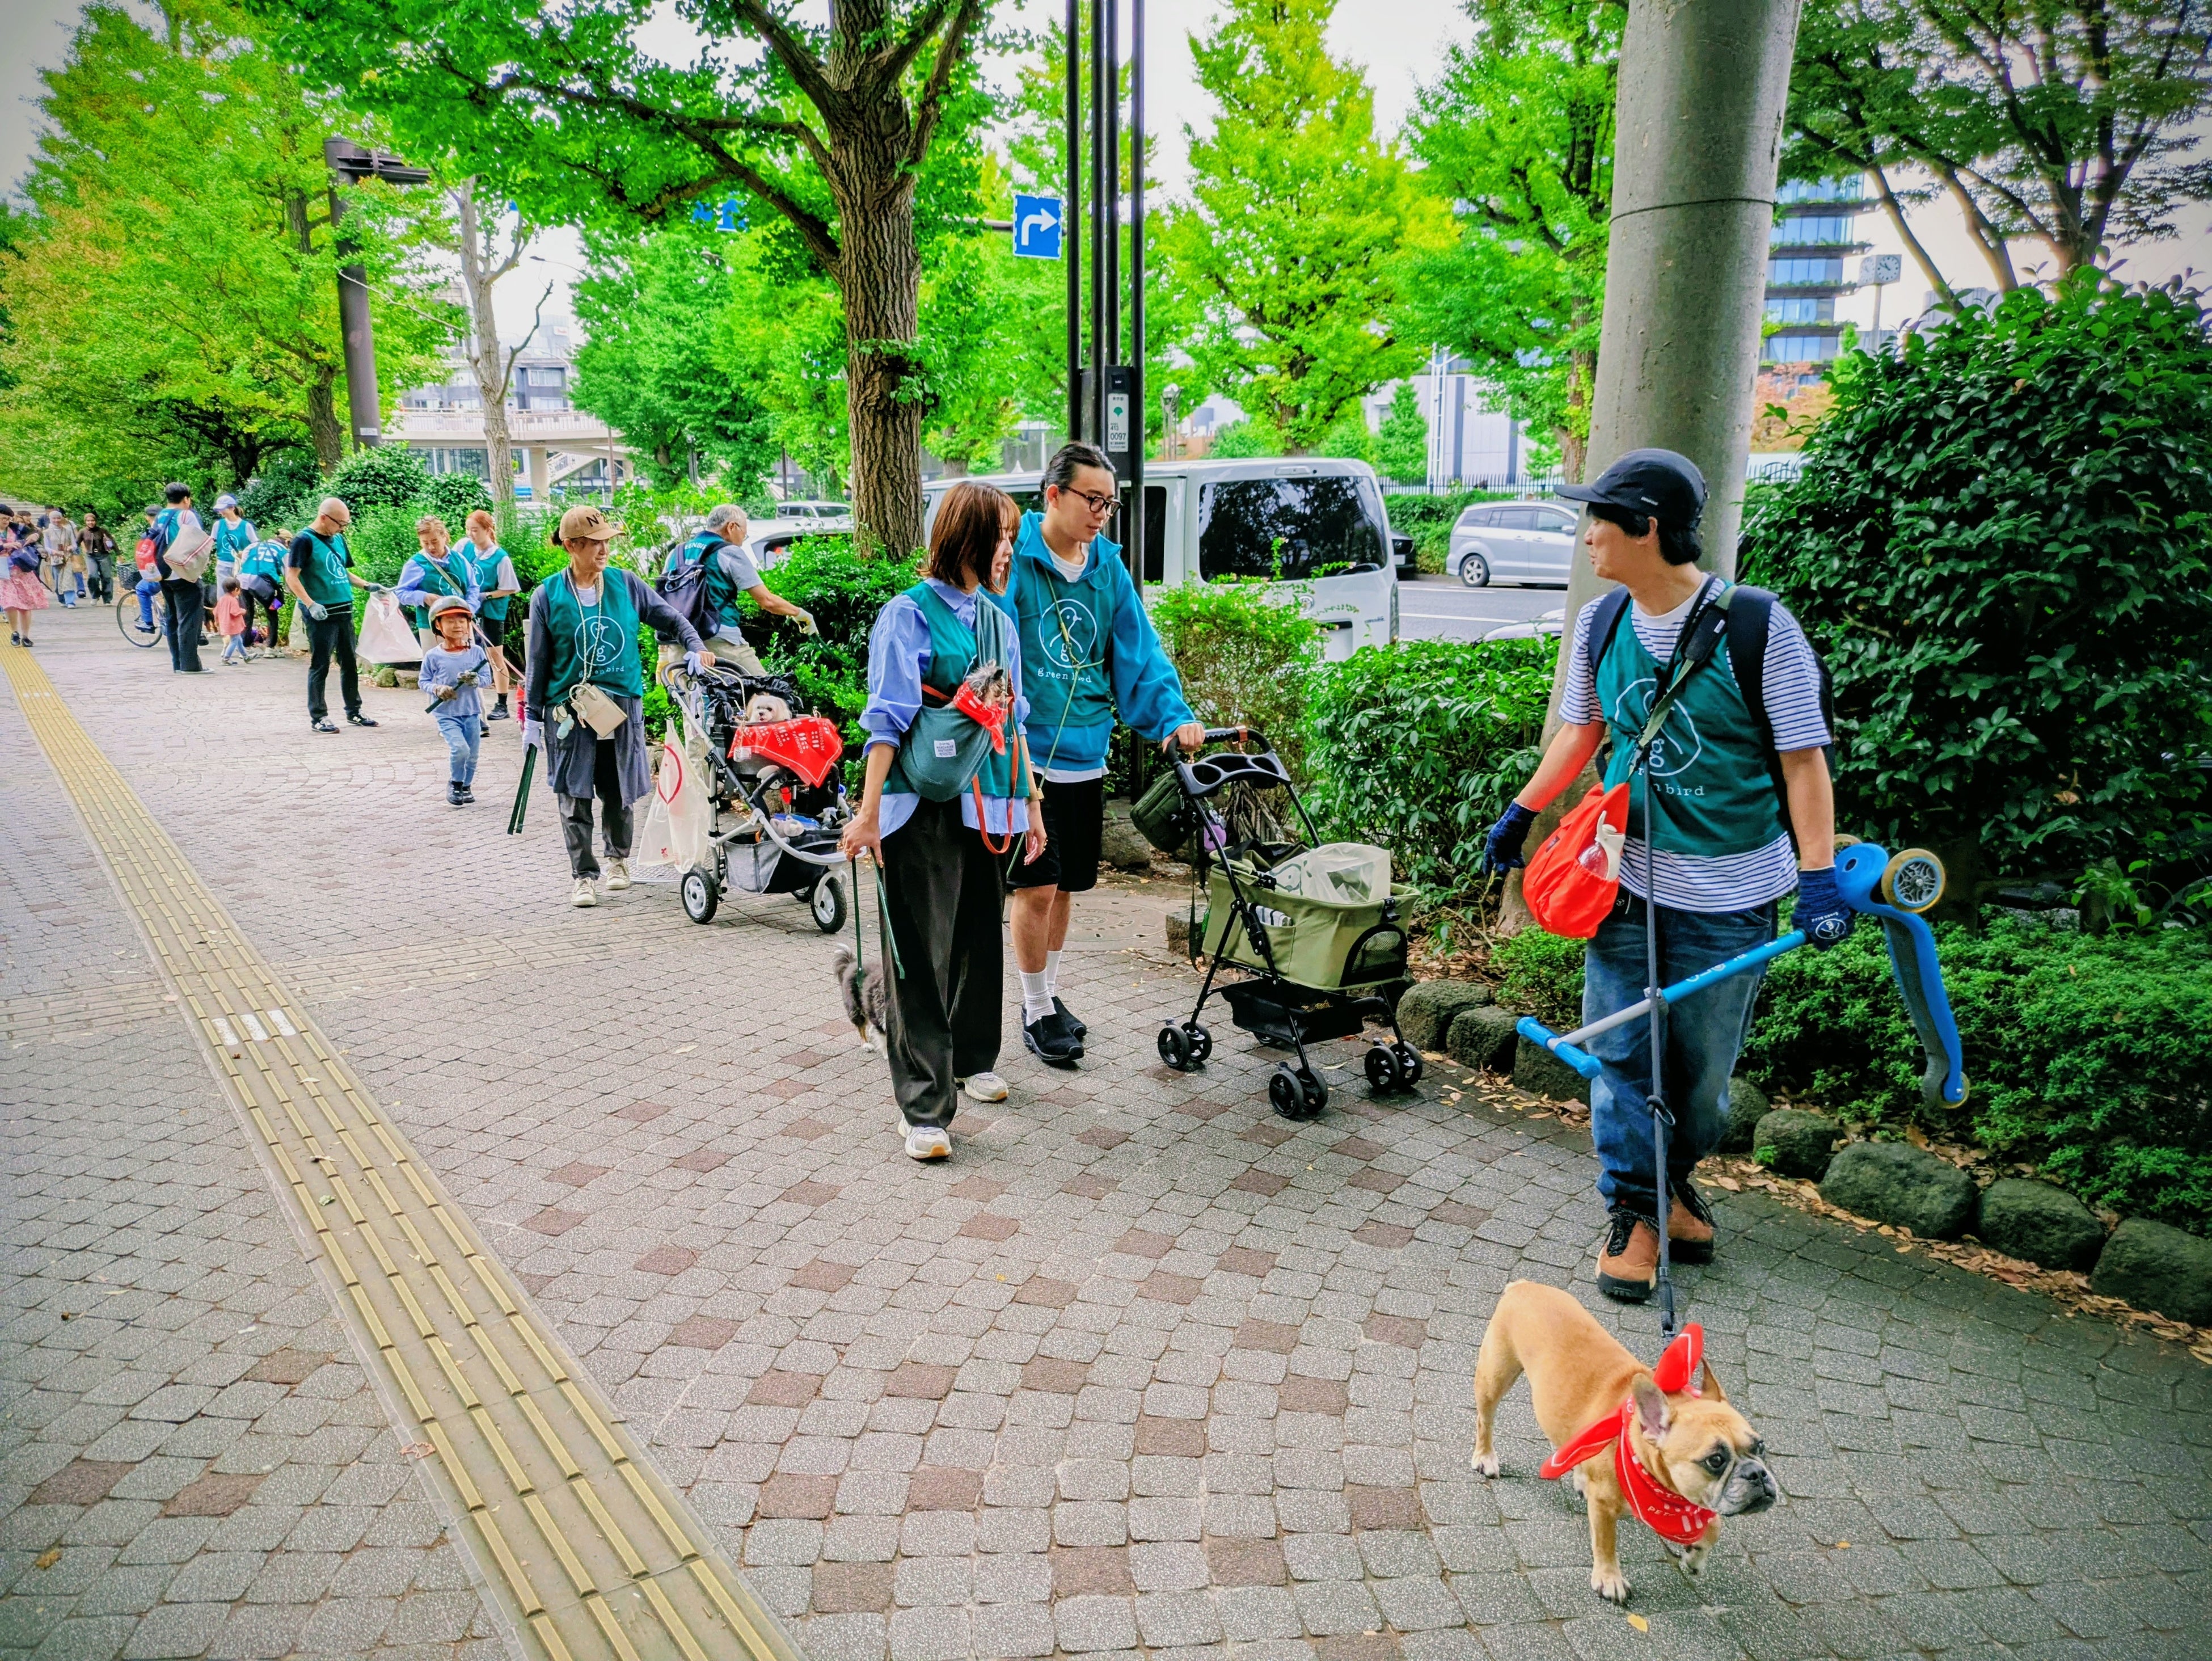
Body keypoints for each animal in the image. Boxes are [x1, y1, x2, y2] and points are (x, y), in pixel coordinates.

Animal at [1471, 1281, 1776, 1604]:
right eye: (1715, 1460)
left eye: (1760, 1446)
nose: (1758, 1474)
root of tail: (1525, 1286)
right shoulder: (1605, 1506)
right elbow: (1606, 1542)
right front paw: (1609, 1578)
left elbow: (1714, 1526)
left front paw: (1696, 1557)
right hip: (1495, 1377)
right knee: (1485, 1420)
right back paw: (1485, 1456)